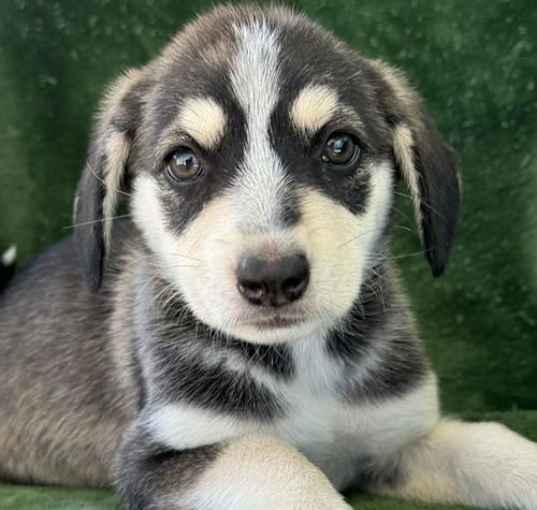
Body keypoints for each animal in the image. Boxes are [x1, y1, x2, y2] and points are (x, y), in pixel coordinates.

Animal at [1, 4, 536, 510]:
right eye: (184, 161)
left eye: (339, 146)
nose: (273, 277)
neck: (301, 359)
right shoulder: (165, 453)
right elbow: (285, 465)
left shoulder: (398, 437)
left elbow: (492, 446)